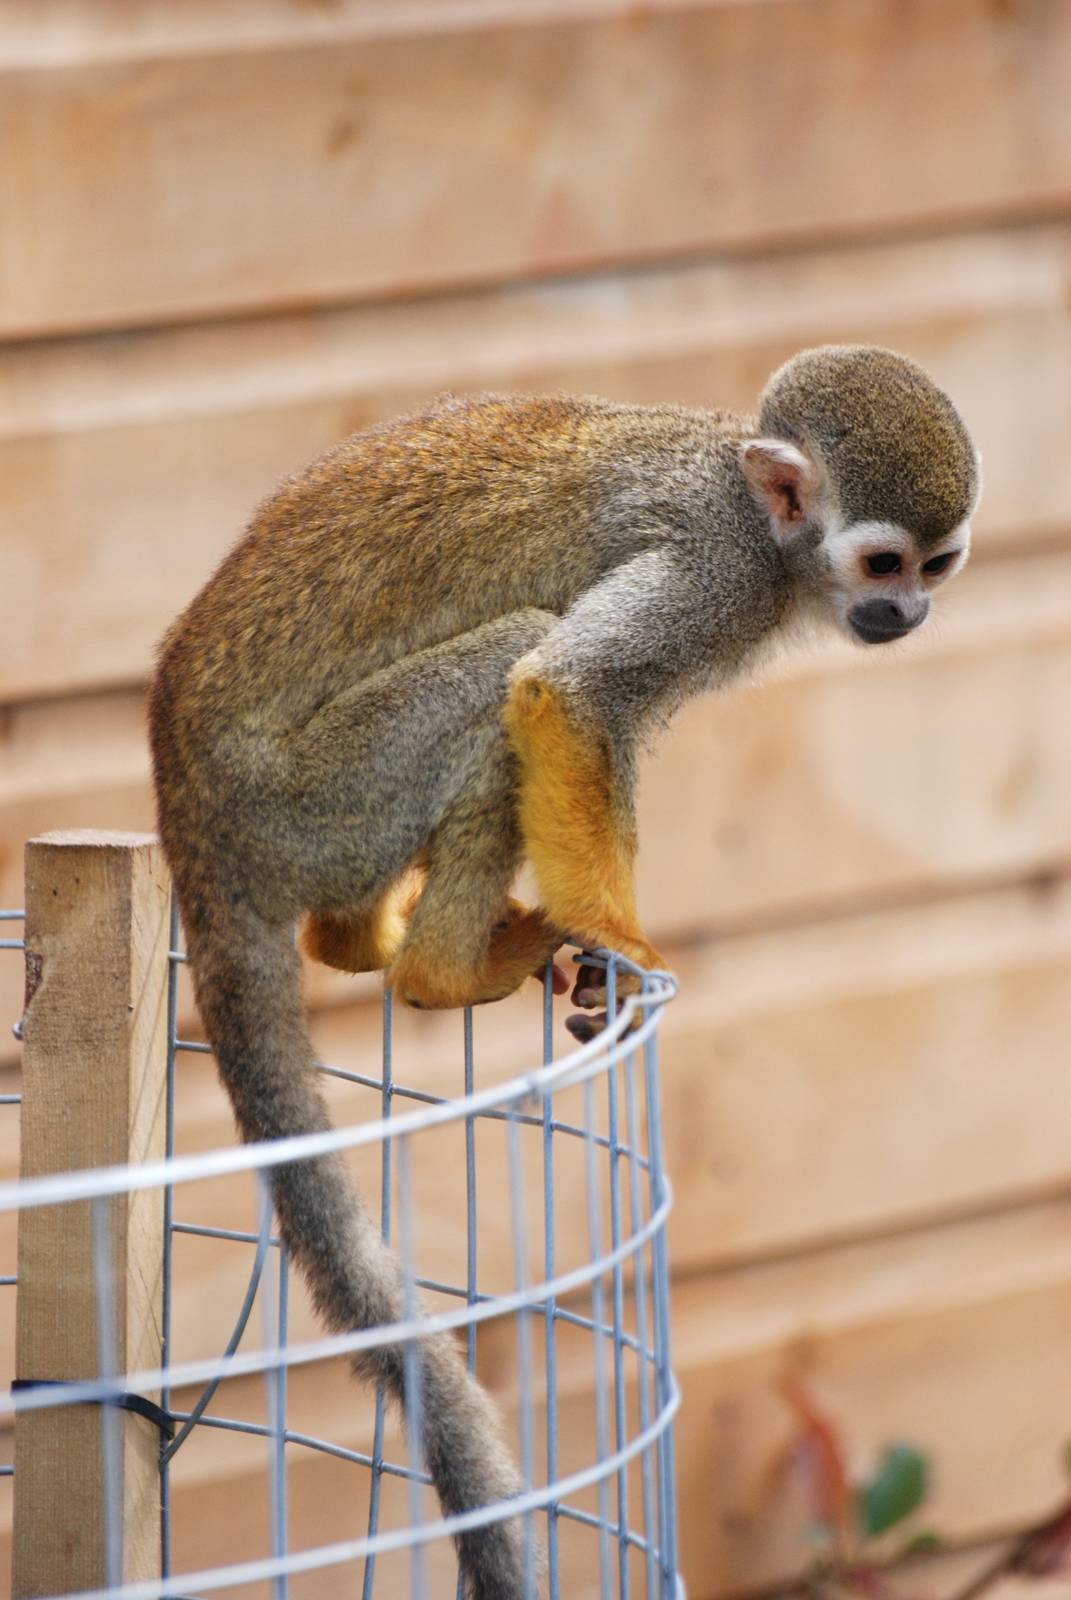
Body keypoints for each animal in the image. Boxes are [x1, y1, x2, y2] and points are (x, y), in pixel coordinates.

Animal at [148, 344, 979, 1597]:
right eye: (883, 562)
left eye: (938, 563)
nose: (907, 612)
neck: (765, 524)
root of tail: (187, 813)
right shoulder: (712, 575)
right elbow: (568, 690)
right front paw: (622, 940)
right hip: (305, 801)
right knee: (510, 653)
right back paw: (442, 969)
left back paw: (356, 942)